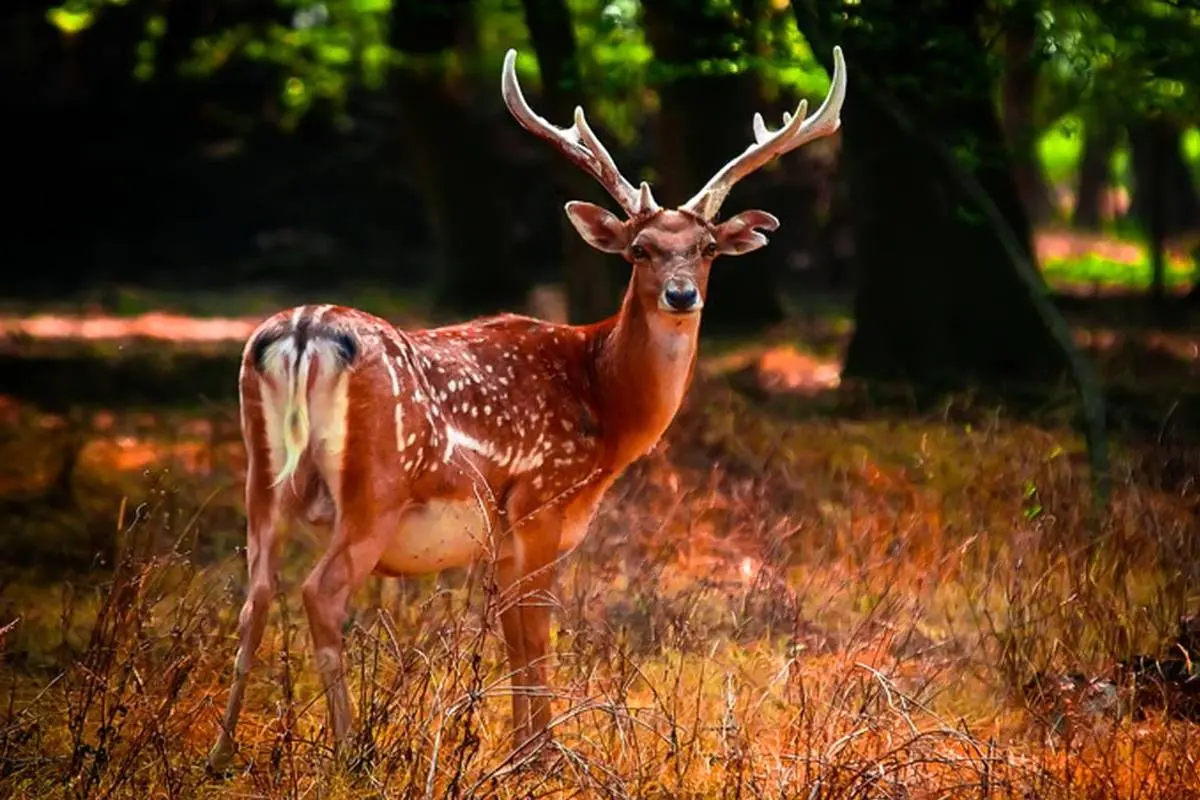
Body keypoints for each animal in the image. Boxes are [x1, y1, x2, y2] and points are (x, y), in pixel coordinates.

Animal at [206, 45, 849, 777]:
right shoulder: (543, 500)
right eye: (640, 250)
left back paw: (221, 753)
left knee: (254, 594)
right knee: (320, 591)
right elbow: (537, 633)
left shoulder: (504, 536)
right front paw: (544, 757)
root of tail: (303, 332)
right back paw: (350, 752)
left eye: (708, 248)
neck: (605, 404)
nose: (682, 295)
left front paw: (518, 753)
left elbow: (514, 637)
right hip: (376, 486)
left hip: (261, 475)